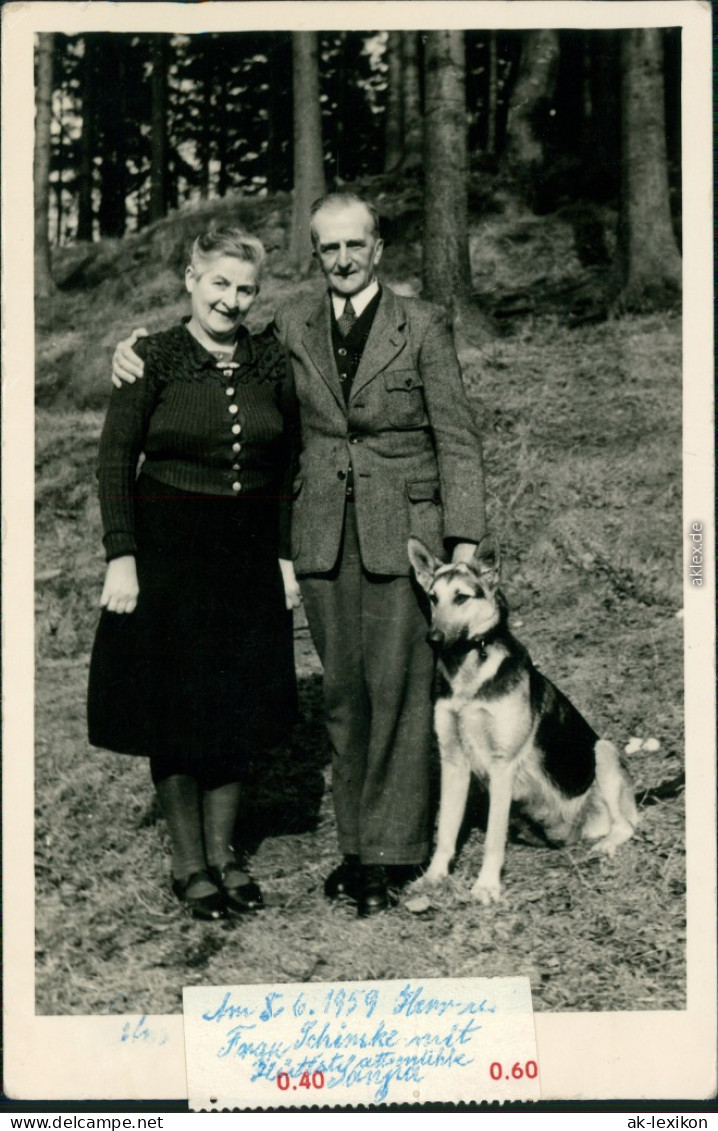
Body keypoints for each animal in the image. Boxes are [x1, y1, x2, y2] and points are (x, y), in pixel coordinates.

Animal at [407, 536, 637, 900]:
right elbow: (446, 832)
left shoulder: (503, 765)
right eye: (433, 598)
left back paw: (606, 845)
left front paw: (486, 885)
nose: (434, 640)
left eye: (461, 597)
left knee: (626, 825)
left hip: (603, 751)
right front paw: (434, 877)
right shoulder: (454, 762)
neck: (469, 672)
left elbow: (492, 838)